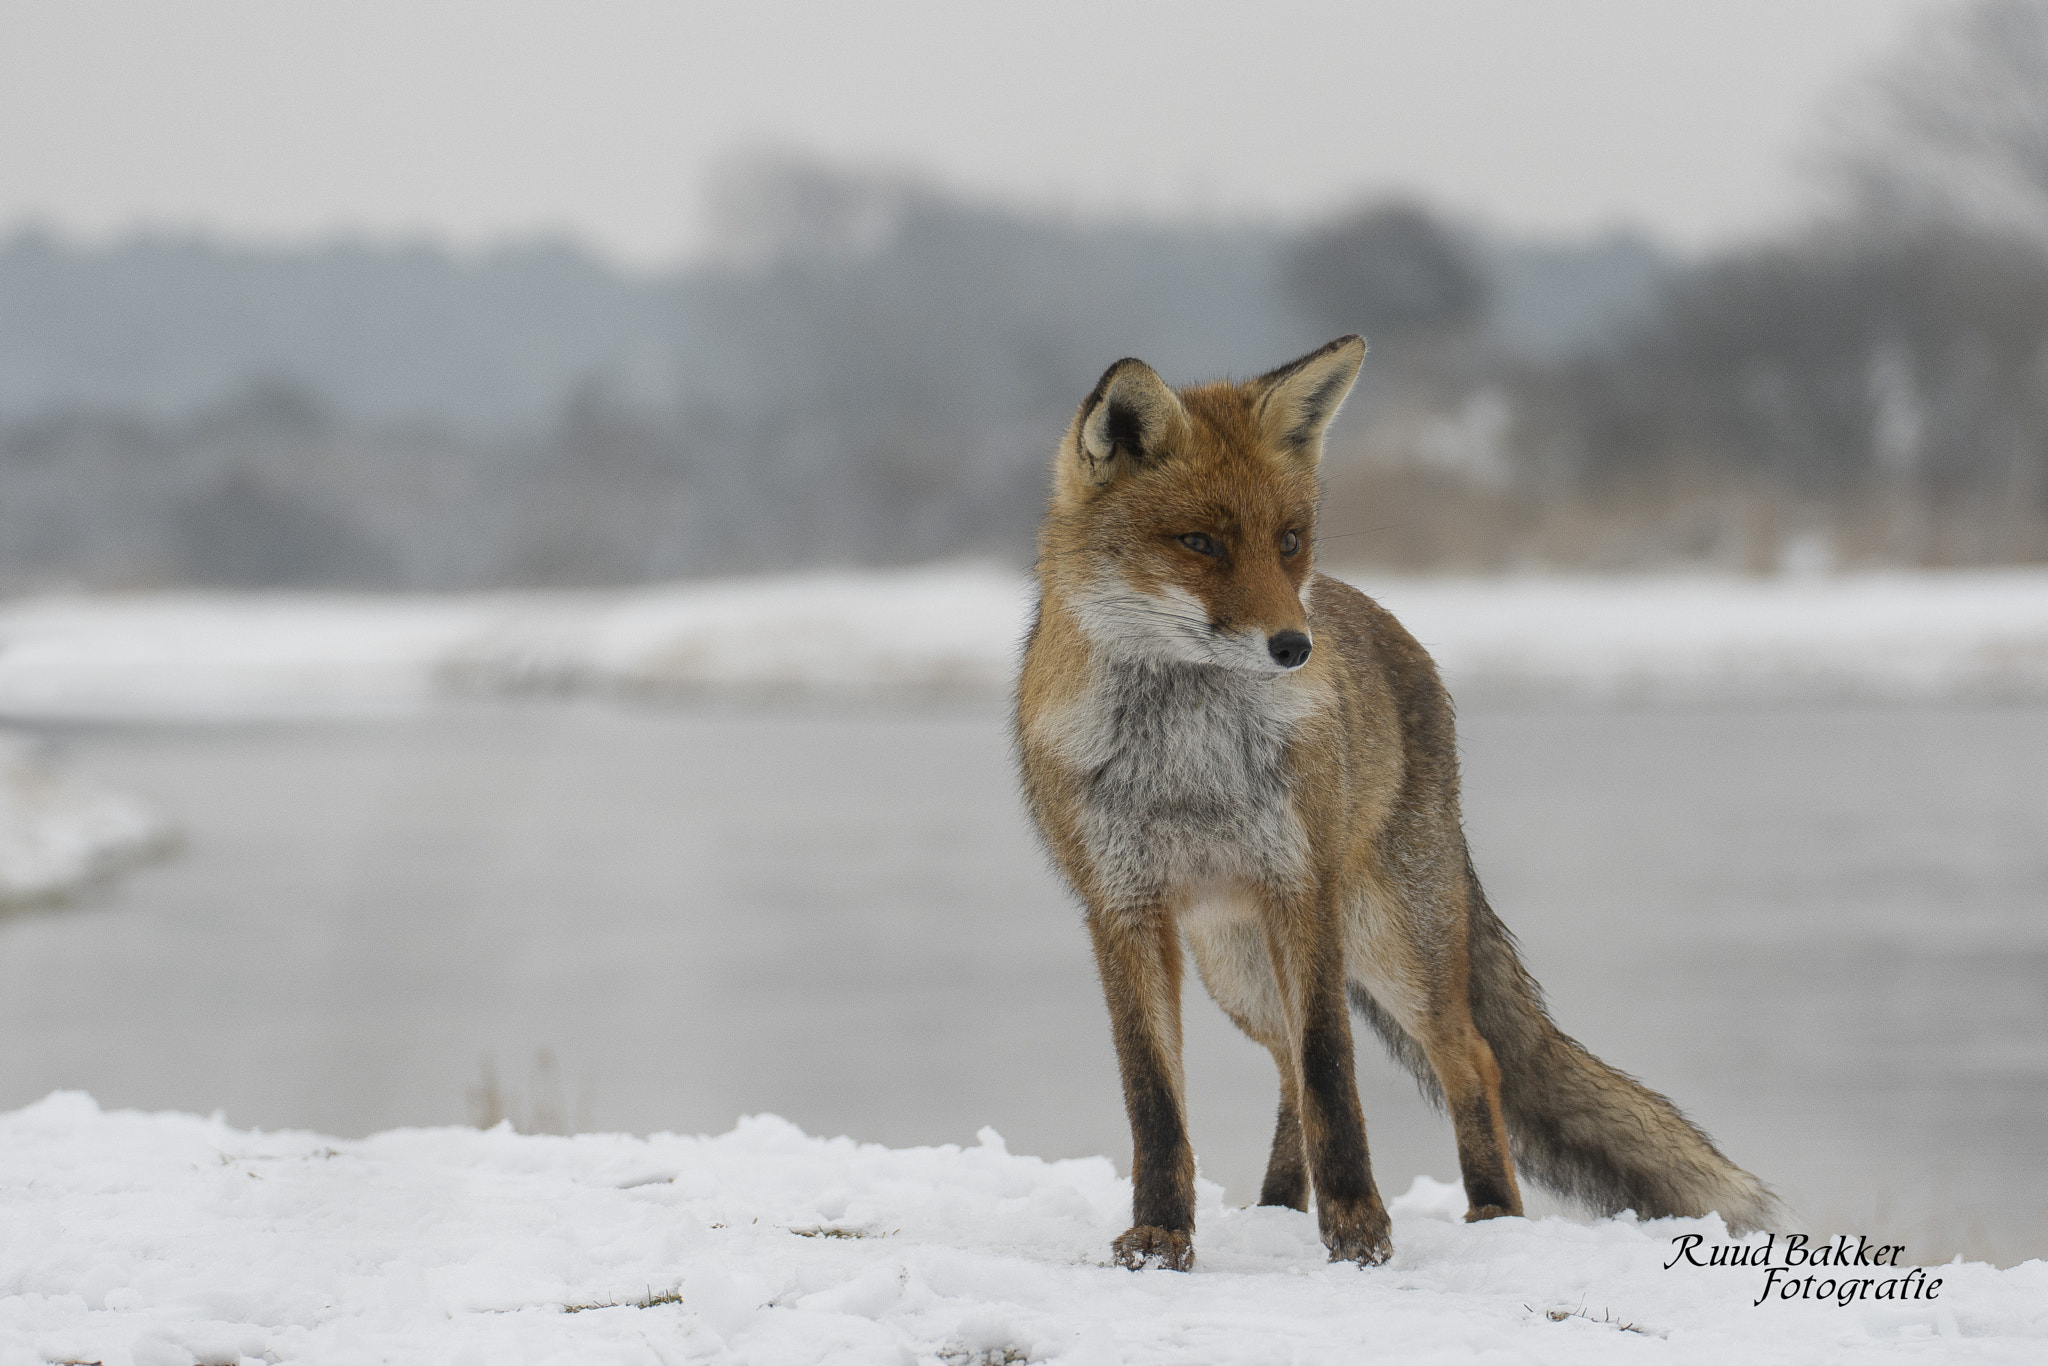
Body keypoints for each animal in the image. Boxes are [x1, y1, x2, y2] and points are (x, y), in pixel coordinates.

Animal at [1015, 333, 1785, 1269]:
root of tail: (1391, 627)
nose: (1294, 647)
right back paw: (1278, 1207)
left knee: (1470, 1058)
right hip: (1236, 963)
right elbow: (1155, 1097)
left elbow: (1333, 1071)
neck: (1187, 760)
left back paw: (1493, 1213)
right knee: (1285, 1067)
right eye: (1199, 542)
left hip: (1388, 941)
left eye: (1289, 541)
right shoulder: (1122, 910)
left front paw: (1357, 1227)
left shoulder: (1301, 890)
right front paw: (1161, 1237)